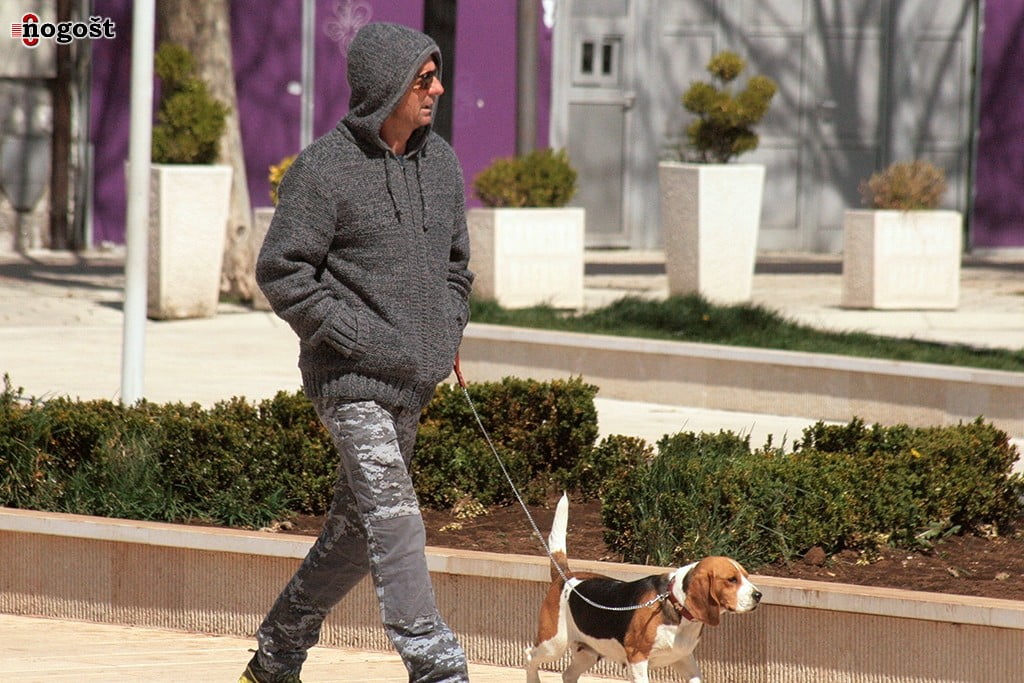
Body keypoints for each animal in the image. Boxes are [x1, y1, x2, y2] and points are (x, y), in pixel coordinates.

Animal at [525, 494, 761, 683]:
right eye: (731, 579)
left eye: (746, 576)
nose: (758, 595)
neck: (675, 604)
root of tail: (565, 576)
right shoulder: (638, 660)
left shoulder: (684, 658)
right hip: (553, 644)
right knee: (530, 655)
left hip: (589, 652)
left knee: (568, 674)